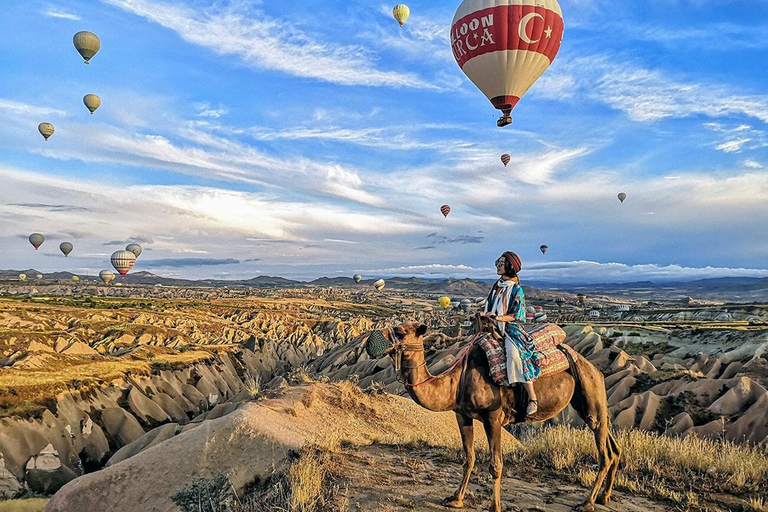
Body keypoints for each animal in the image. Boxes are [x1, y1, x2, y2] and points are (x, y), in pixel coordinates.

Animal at [384, 322, 624, 512]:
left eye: (401, 332)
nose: (385, 336)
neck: (457, 381)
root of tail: (594, 368)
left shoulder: (493, 418)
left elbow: (495, 465)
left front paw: (495, 507)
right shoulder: (462, 415)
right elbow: (468, 457)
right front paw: (456, 499)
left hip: (590, 392)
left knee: (604, 452)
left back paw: (587, 503)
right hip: (587, 402)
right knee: (613, 446)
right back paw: (604, 497)